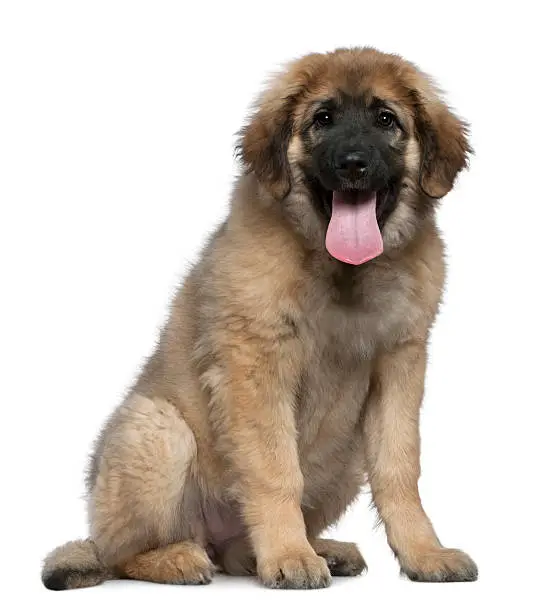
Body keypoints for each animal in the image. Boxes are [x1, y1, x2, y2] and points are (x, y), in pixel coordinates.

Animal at [42, 45, 478, 592]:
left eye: (385, 119)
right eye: (323, 119)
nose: (353, 164)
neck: (342, 272)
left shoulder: (400, 363)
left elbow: (400, 468)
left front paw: (424, 553)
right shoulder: (255, 364)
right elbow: (275, 470)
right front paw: (289, 555)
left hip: (345, 460)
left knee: (235, 551)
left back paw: (314, 549)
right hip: (157, 430)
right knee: (121, 554)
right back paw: (180, 558)